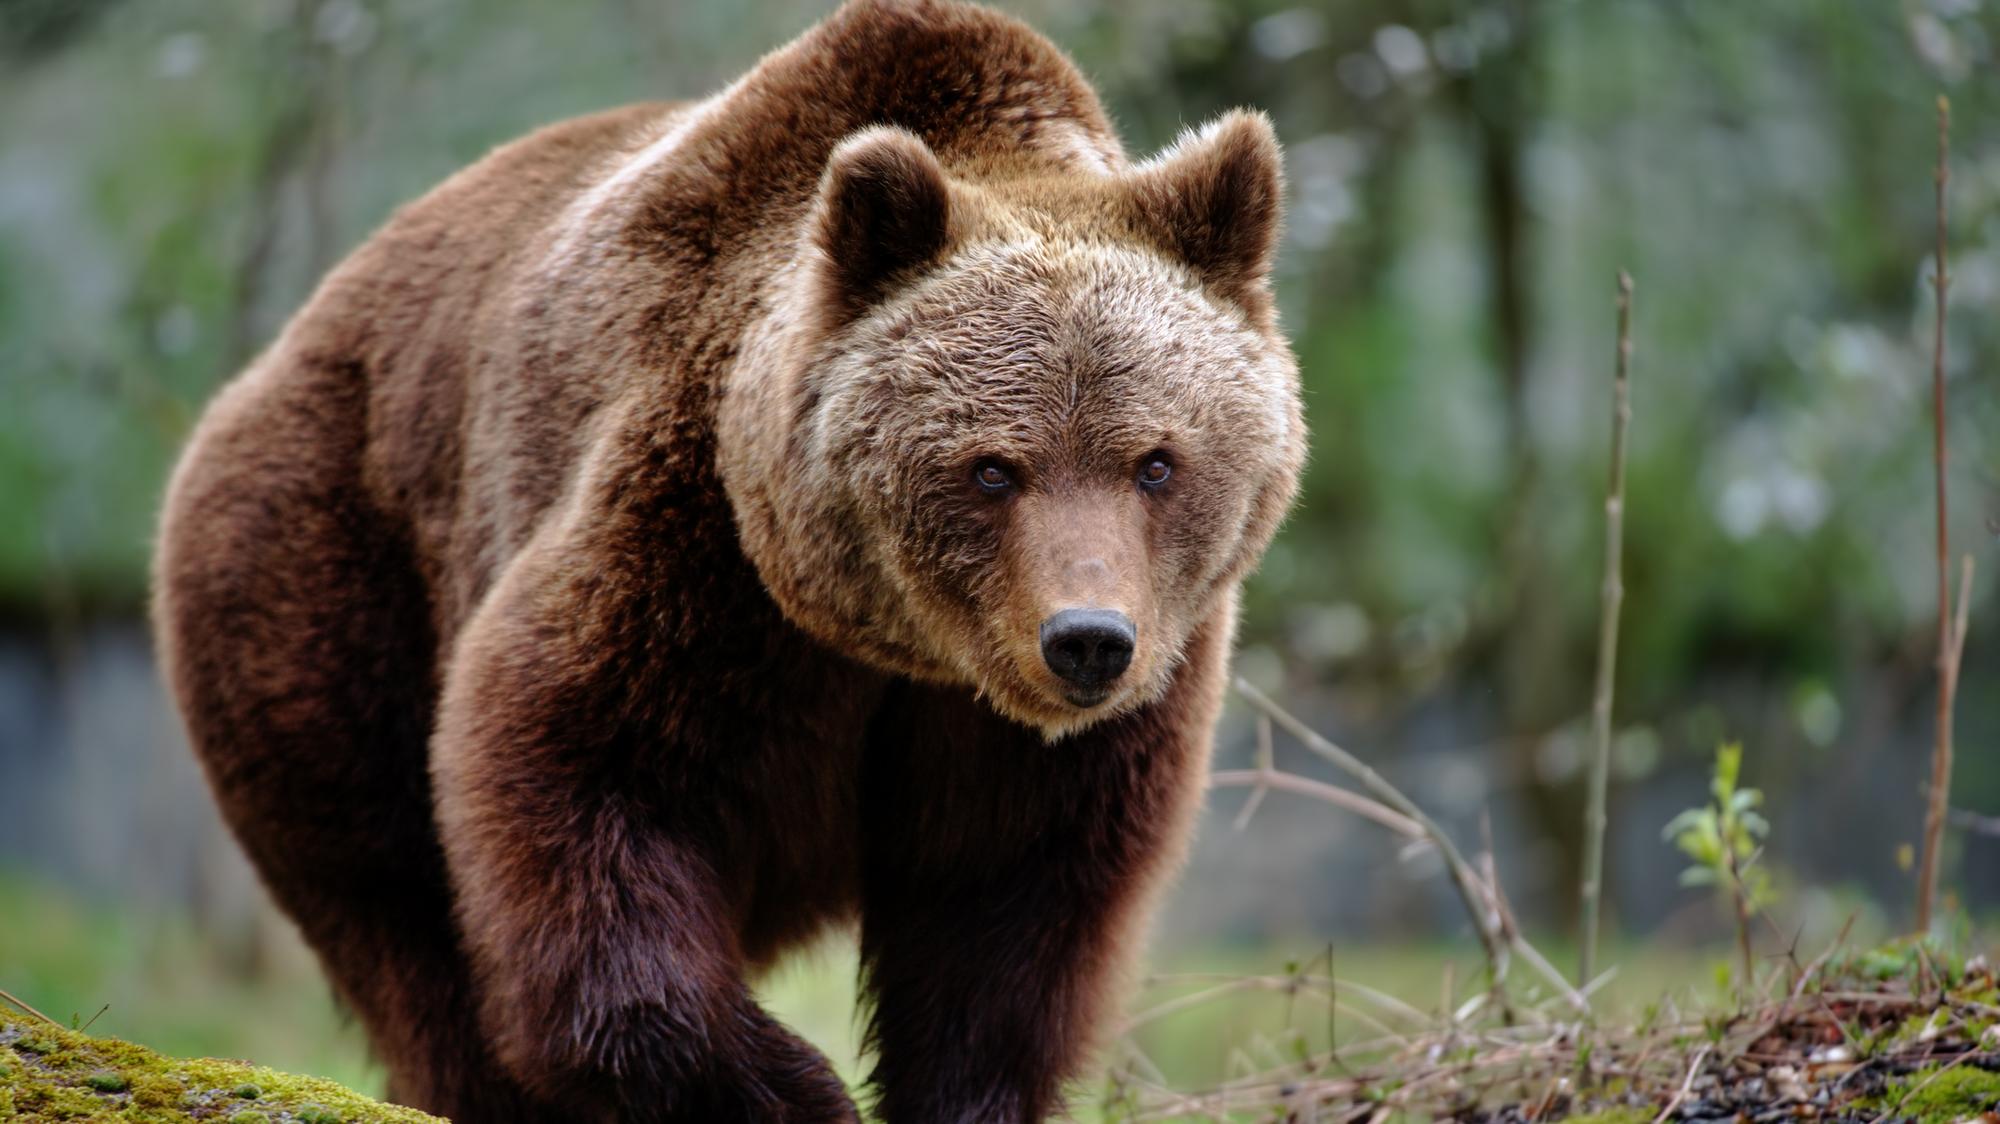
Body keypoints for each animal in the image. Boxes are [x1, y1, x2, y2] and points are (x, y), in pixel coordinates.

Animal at [156, 4, 1312, 1112]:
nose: (1085, 641)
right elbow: (579, 786)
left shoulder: (1062, 724)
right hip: (324, 572)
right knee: (394, 897)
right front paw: (795, 1090)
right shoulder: (693, 549)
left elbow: (1005, 913)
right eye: (992, 468)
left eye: (1155, 461)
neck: (895, 646)